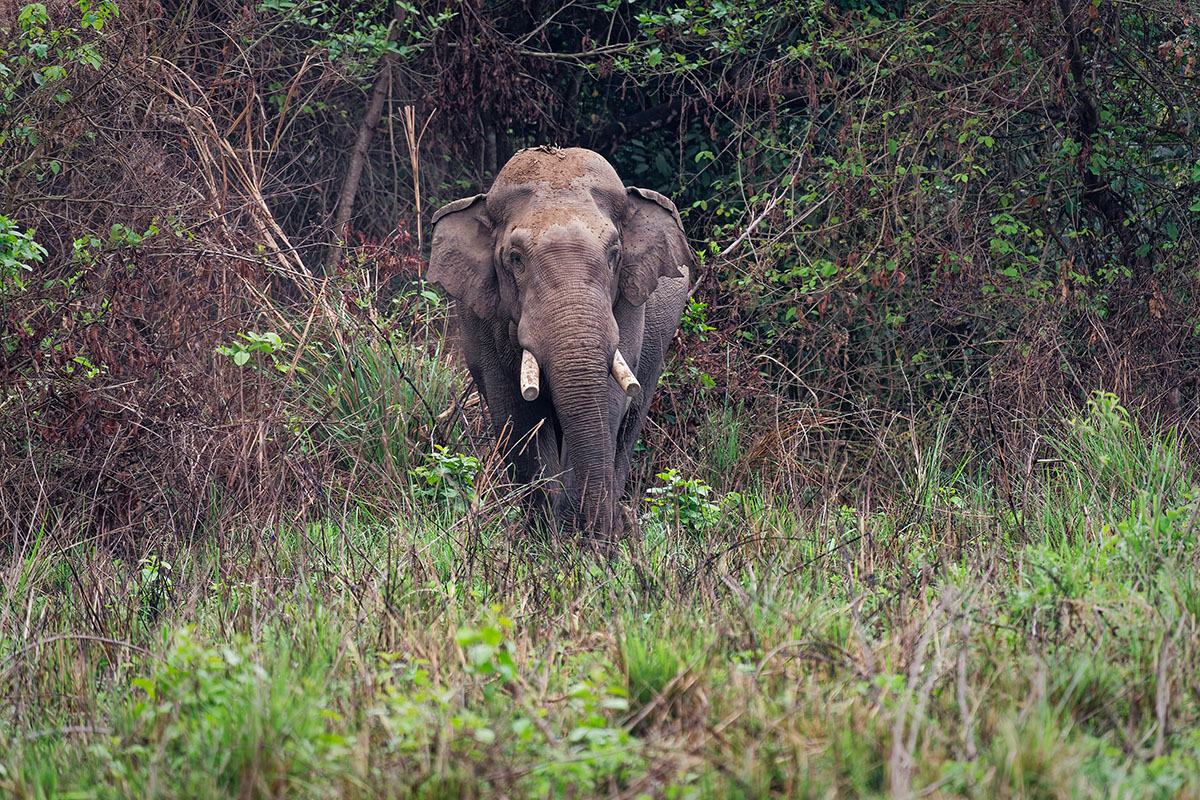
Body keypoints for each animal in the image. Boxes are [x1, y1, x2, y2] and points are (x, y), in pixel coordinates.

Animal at [427, 146, 693, 541]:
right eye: (515, 259)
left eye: (615, 254)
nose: (596, 536)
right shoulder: (479, 314)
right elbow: (516, 413)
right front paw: (545, 537)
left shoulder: (629, 305)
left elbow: (608, 401)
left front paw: (581, 537)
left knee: (630, 423)